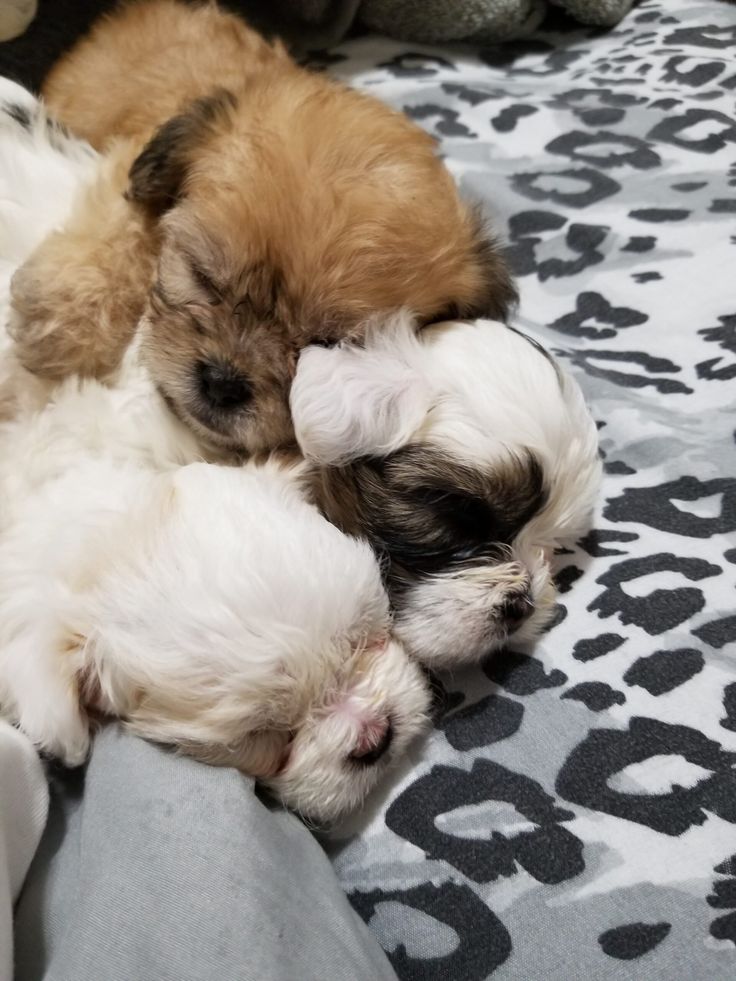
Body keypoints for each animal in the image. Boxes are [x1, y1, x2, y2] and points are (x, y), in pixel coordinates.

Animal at [12, 0, 516, 452]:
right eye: (202, 277)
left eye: (326, 344)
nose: (223, 382)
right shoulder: (130, 170)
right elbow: (126, 231)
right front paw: (66, 322)